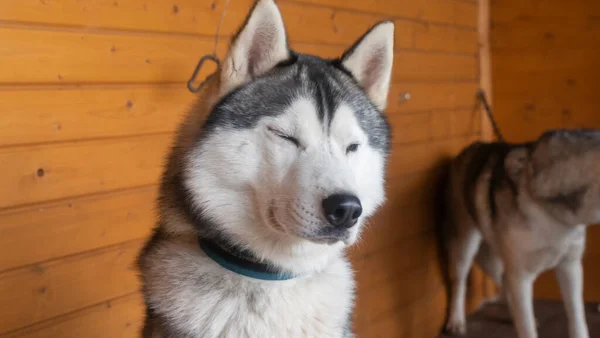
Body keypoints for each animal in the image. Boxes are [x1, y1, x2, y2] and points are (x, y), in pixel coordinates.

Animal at [442, 129, 600, 338]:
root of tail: (466, 150)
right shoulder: (521, 276)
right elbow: (527, 328)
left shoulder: (570, 266)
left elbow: (577, 320)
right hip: (466, 244)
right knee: (459, 282)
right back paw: (456, 321)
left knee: (503, 279)